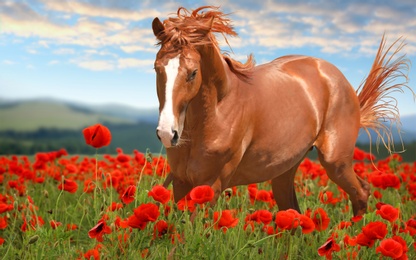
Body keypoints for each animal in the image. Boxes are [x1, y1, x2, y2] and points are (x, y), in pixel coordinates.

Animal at [152, 7, 410, 216]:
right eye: (157, 68)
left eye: (193, 73)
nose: (167, 133)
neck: (217, 113)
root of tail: (336, 76)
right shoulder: (181, 182)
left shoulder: (210, 186)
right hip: (285, 169)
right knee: (294, 214)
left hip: (336, 161)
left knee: (362, 192)